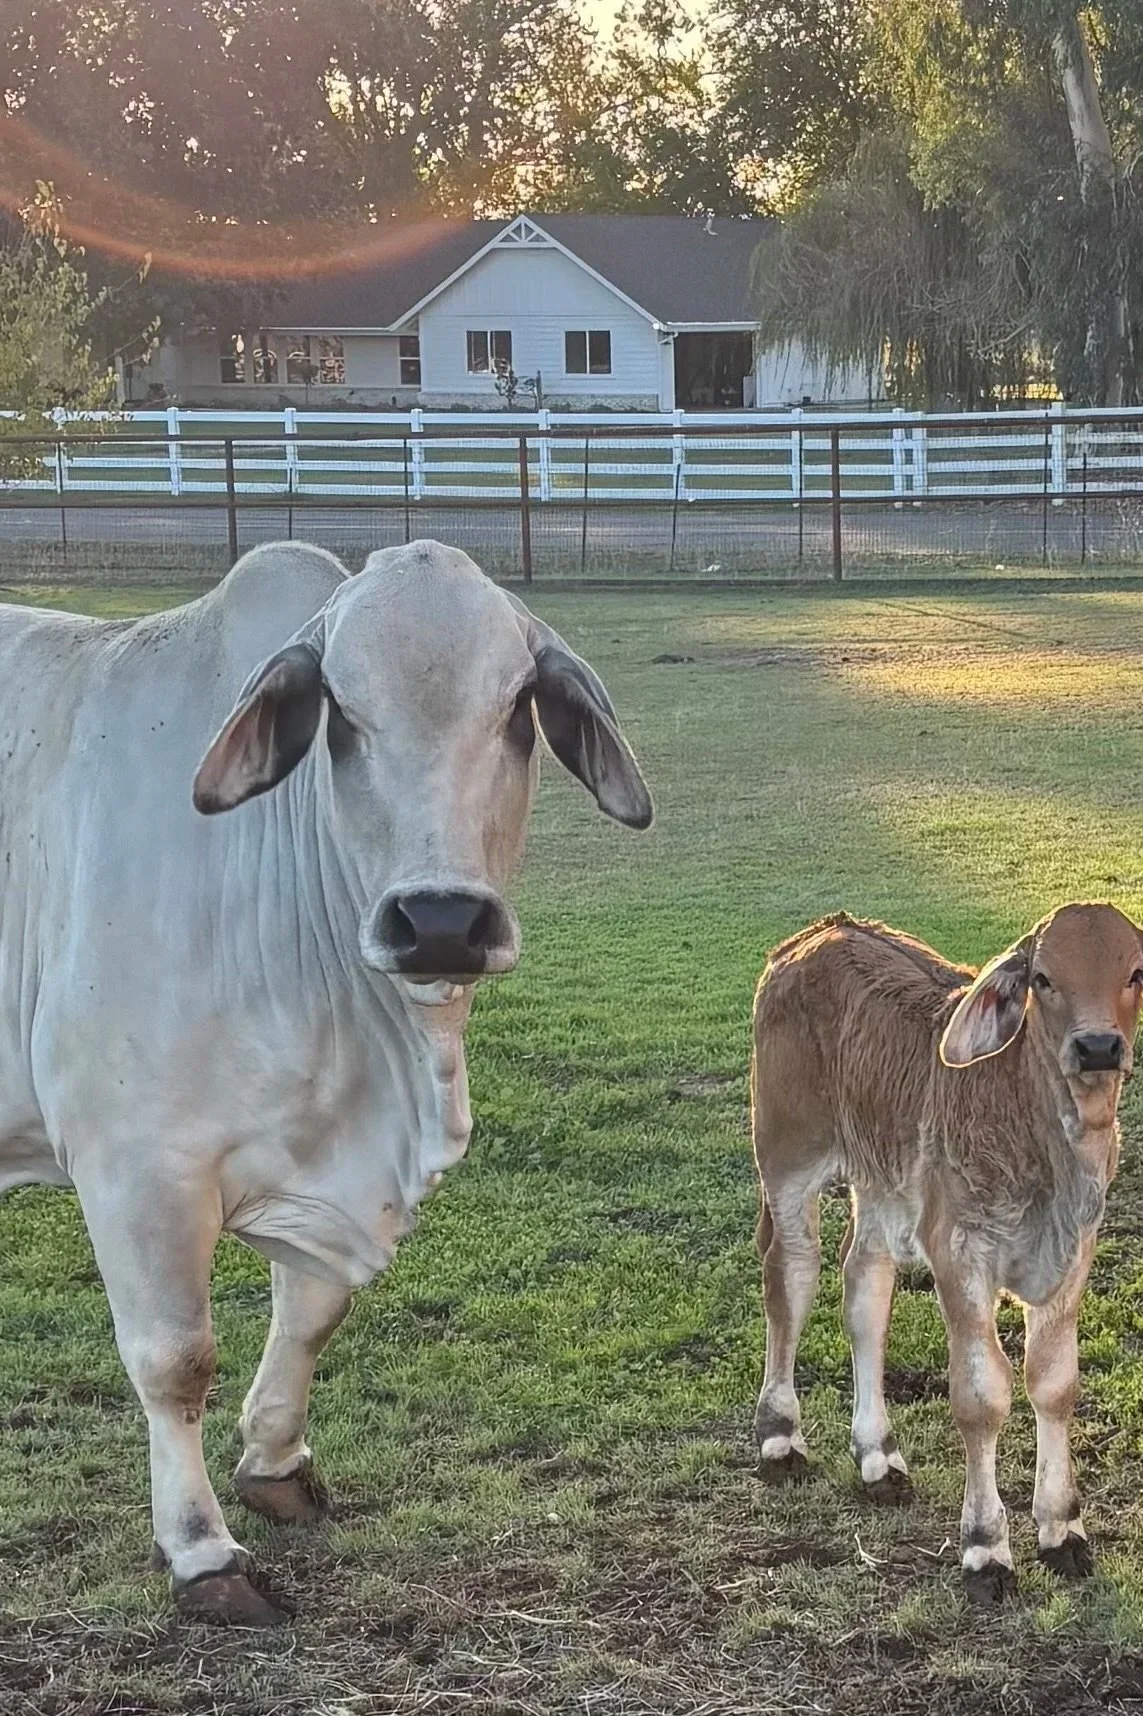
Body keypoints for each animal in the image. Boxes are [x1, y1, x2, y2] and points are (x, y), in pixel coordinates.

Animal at [0, 539, 652, 1625]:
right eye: (340, 712)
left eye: (517, 704)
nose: (440, 922)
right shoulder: (135, 1166)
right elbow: (174, 1359)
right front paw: (202, 1549)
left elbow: (313, 1312)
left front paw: (275, 1462)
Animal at [749, 906, 1143, 1604]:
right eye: (1042, 978)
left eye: (1135, 973)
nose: (1099, 1047)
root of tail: (820, 931)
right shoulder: (959, 1251)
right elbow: (982, 1396)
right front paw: (986, 1548)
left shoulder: (1073, 1257)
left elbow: (1055, 1384)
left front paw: (1062, 1529)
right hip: (786, 1153)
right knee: (790, 1277)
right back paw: (779, 1436)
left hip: (881, 1181)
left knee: (864, 1289)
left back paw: (877, 1455)